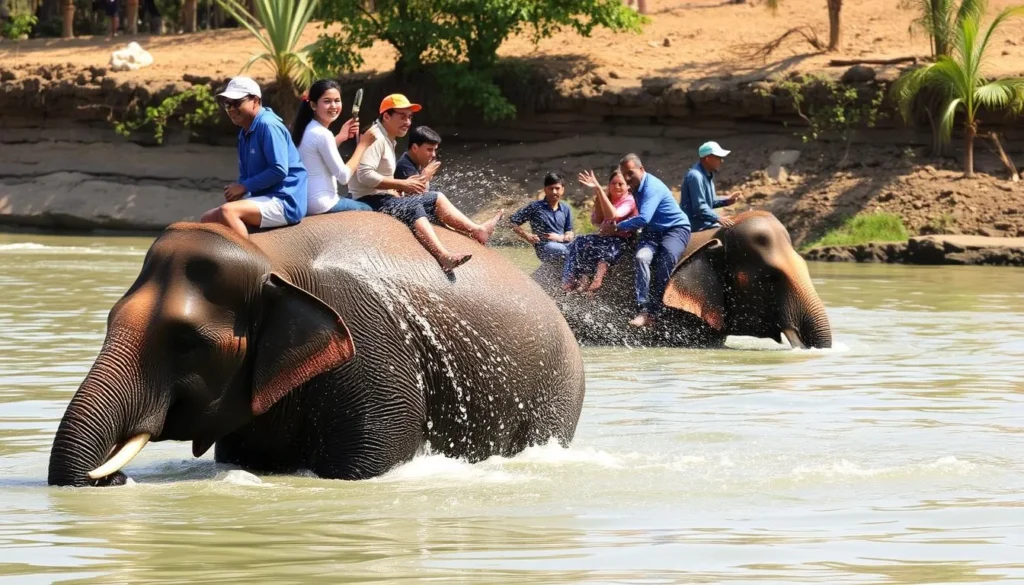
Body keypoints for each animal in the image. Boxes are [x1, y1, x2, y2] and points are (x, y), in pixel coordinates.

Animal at [48, 212, 586, 487]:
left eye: (187, 341)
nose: (112, 480)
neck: (270, 255)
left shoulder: (371, 343)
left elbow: (367, 463)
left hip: (557, 393)